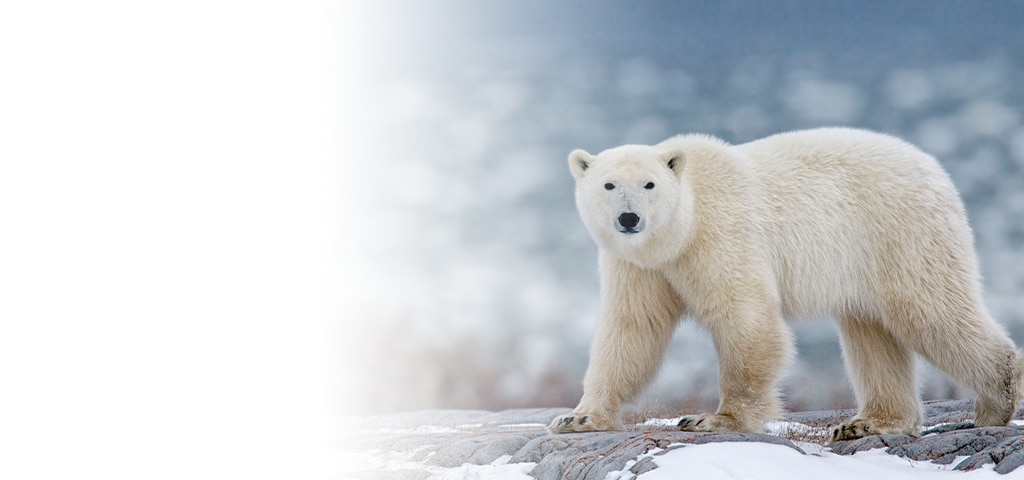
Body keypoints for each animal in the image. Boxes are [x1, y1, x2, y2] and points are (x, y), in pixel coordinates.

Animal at [552, 126, 1024, 438]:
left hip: (901, 233)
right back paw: (868, 422)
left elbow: (746, 318)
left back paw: (996, 401)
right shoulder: (638, 265)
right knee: (872, 332)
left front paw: (713, 418)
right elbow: (632, 330)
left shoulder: (721, 235)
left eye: (649, 184)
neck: (681, 229)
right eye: (609, 184)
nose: (629, 218)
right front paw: (578, 417)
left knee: (930, 311)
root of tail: (935, 169)